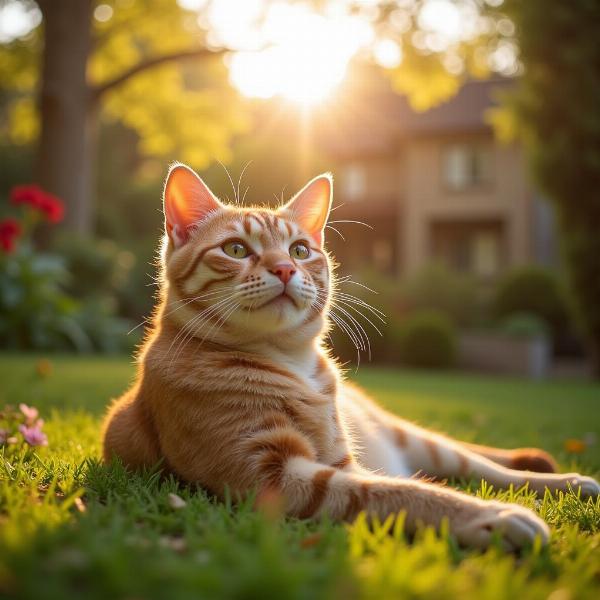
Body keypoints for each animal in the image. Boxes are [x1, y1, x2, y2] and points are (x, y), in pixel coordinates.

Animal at [104, 162, 600, 552]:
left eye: (300, 250)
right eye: (236, 249)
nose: (285, 268)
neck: (292, 363)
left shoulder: (335, 462)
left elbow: (407, 486)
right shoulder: (274, 477)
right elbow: (402, 492)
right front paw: (491, 517)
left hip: (415, 440)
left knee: (481, 464)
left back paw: (566, 482)